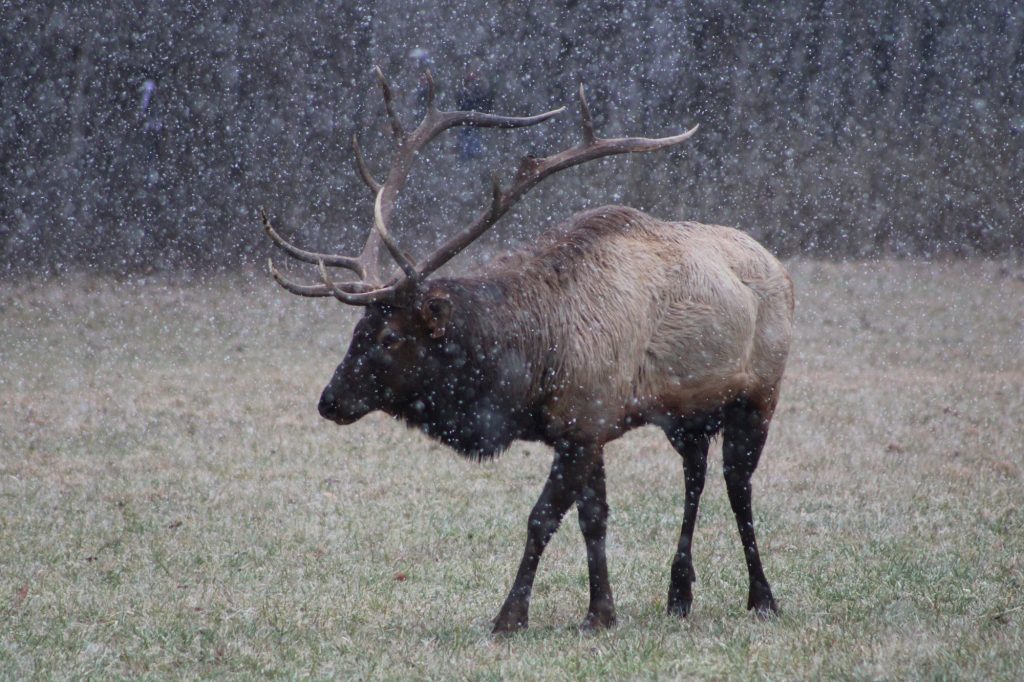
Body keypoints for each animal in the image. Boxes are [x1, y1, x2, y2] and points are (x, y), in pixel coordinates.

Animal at [262, 69, 790, 630]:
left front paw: (510, 616)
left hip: (761, 393)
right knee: (696, 475)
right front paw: (601, 612)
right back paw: (679, 594)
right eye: (357, 329)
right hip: (686, 416)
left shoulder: (586, 421)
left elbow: (541, 519)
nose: (329, 400)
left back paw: (762, 596)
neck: (535, 362)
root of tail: (777, 265)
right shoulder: (585, 426)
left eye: (390, 337)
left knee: (738, 485)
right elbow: (593, 519)